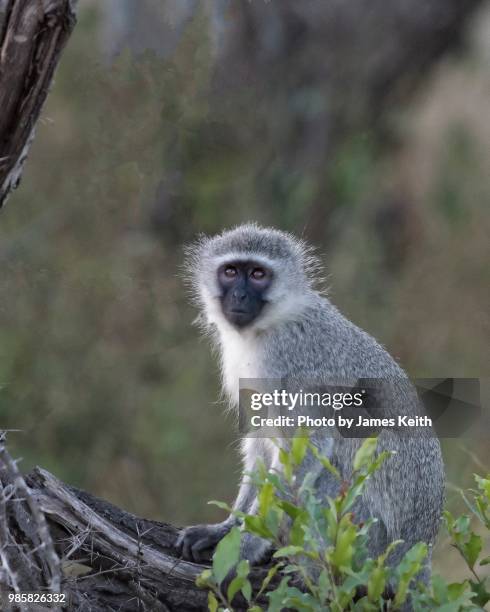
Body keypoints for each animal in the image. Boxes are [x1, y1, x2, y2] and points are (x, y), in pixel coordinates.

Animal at [176, 224, 444, 584]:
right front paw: (226, 528)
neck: (270, 324)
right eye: (230, 272)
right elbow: (260, 443)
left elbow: (311, 445)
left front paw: (245, 547)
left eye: (258, 274)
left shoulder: (294, 363)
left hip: (363, 535)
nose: (239, 297)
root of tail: (419, 550)